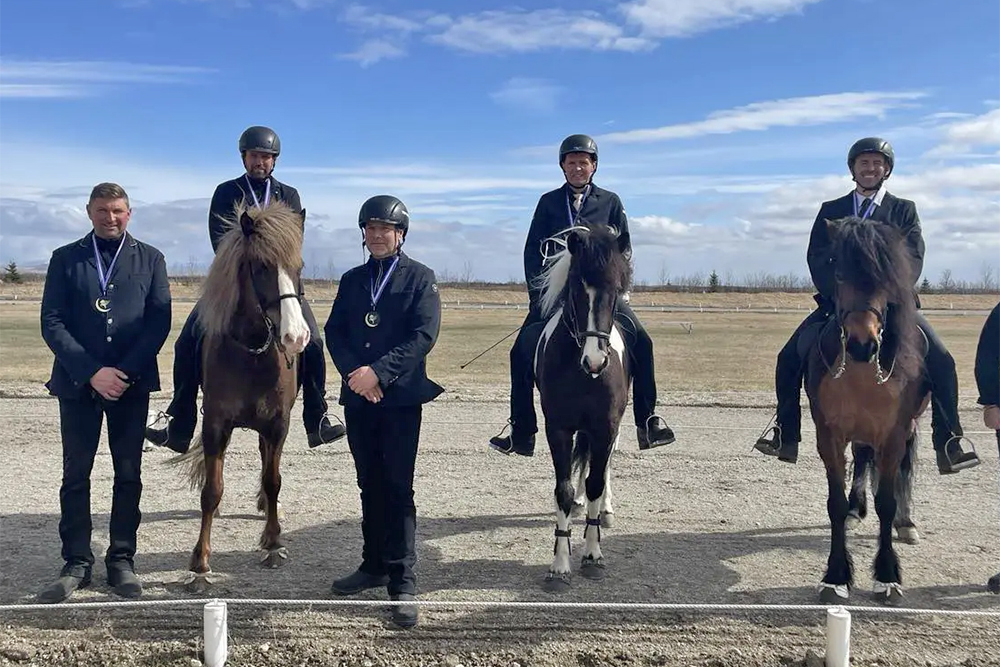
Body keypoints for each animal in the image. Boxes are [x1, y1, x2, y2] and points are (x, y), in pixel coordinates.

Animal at [168, 201, 310, 580]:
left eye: (299, 267)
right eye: (261, 267)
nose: (296, 337)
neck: (251, 352)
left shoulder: (278, 424)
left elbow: (274, 480)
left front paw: (273, 543)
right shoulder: (216, 423)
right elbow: (211, 490)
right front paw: (200, 562)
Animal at [532, 224, 632, 596]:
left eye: (617, 289)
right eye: (576, 288)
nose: (595, 361)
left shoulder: (605, 427)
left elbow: (595, 484)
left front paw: (592, 554)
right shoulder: (558, 428)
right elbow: (563, 490)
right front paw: (560, 564)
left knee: (602, 472)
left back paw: (605, 510)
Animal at [804, 217, 928, 608]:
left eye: (888, 277)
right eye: (837, 271)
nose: (862, 344)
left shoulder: (894, 436)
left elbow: (887, 501)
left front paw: (887, 576)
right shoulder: (829, 435)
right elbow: (834, 502)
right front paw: (835, 575)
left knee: (901, 475)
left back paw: (906, 523)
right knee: (861, 459)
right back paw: (857, 509)